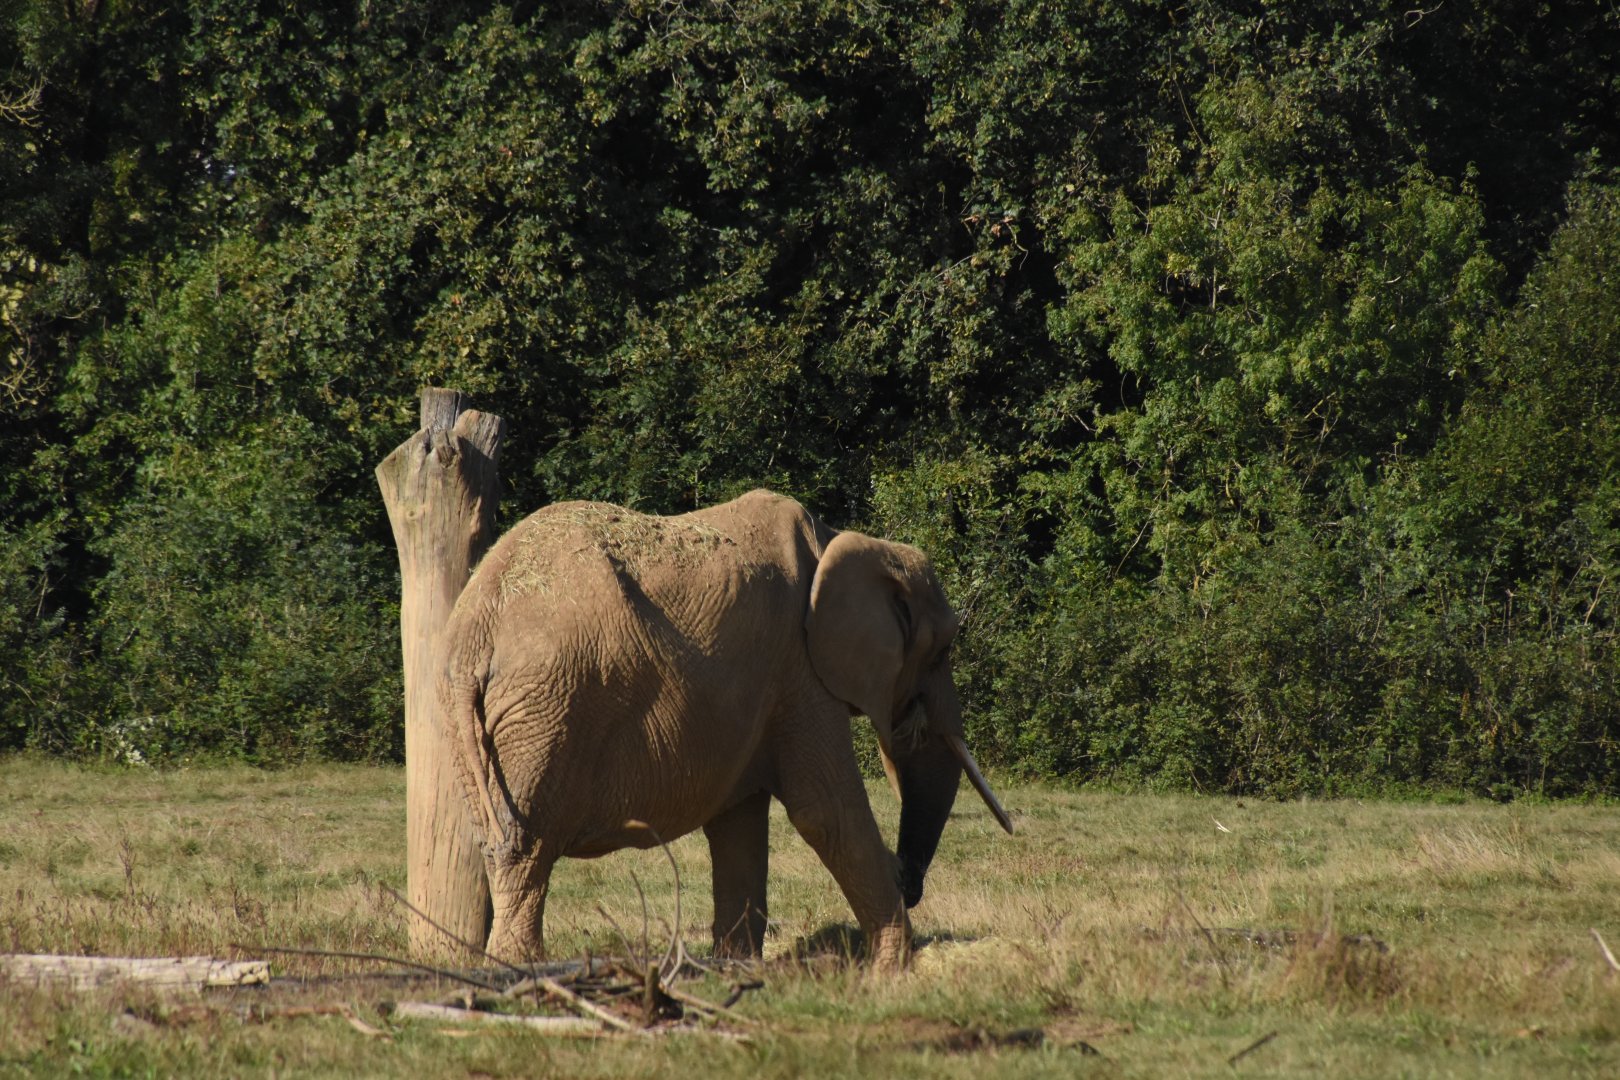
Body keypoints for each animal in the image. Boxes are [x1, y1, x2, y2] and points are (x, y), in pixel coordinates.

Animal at [437, 488, 1011, 969]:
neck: (840, 539)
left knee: (495, 837)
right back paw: (520, 969)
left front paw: (736, 967)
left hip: (478, 717)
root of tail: (475, 629)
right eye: (944, 650)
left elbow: (739, 824)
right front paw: (897, 968)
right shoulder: (799, 668)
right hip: (549, 707)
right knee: (525, 841)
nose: (906, 879)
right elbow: (824, 810)